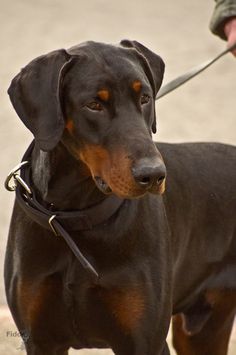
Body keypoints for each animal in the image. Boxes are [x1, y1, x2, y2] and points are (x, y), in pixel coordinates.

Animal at [4, 40, 236, 354]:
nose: (153, 175)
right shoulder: (40, 340)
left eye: (145, 98)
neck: (75, 218)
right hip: (201, 330)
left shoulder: (145, 341)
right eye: (94, 104)